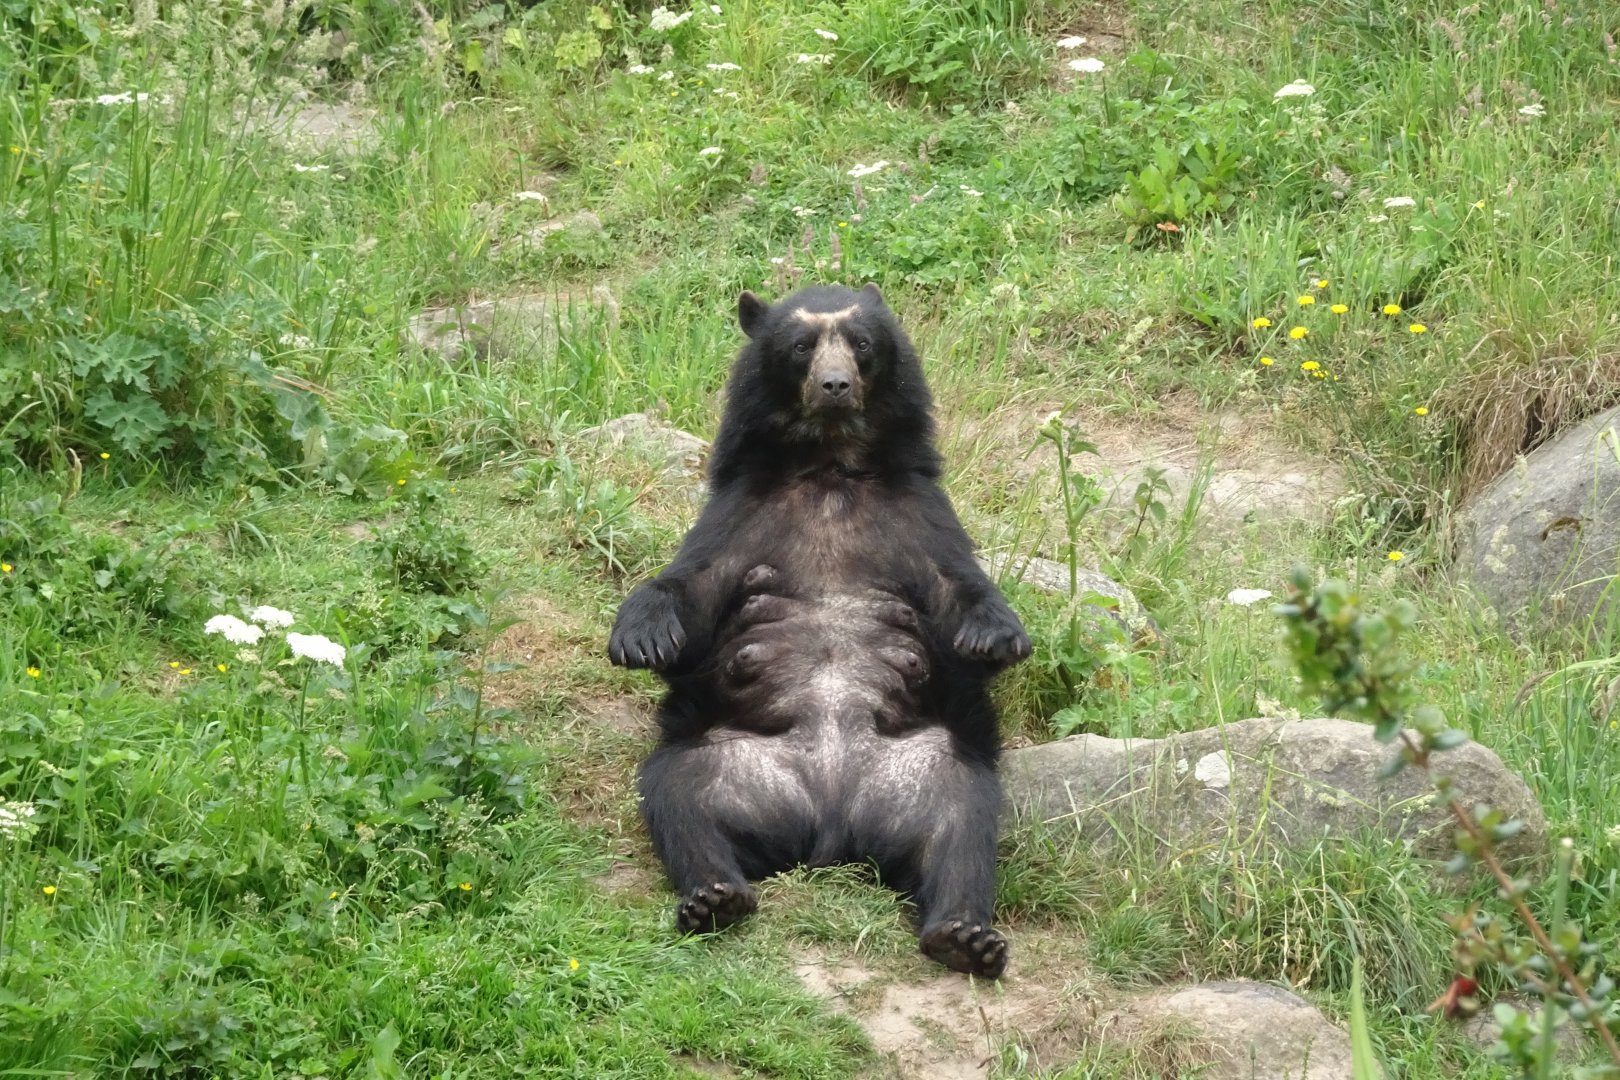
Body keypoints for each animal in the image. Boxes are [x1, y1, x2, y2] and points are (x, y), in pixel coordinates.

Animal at [607, 282, 1030, 978]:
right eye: (801, 346)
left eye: (861, 344)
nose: (835, 385)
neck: (830, 463)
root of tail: (831, 826)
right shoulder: (740, 511)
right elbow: (690, 589)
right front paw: (641, 638)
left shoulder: (919, 512)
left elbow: (958, 590)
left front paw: (995, 636)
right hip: (726, 761)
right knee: (681, 802)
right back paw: (714, 898)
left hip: (927, 769)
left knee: (962, 829)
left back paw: (966, 936)